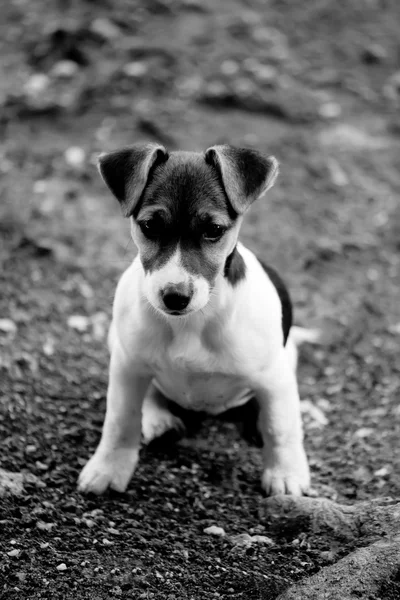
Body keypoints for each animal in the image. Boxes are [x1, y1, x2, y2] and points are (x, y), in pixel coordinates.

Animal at [77, 144, 310, 496]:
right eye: (150, 226)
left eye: (214, 230)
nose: (175, 296)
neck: (192, 322)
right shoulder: (127, 365)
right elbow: (120, 420)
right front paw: (108, 467)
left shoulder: (274, 375)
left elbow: (280, 426)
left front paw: (286, 475)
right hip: (116, 341)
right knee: (152, 393)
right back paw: (160, 420)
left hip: (289, 352)